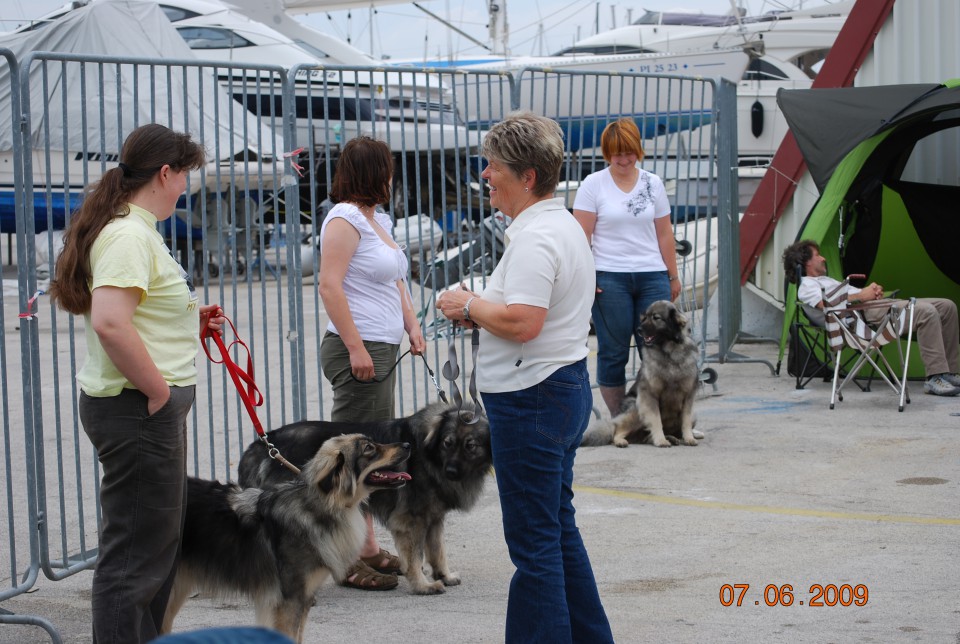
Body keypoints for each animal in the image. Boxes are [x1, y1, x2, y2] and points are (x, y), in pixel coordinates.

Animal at [237, 402, 492, 592]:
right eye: (447, 443)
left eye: (470, 446)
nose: (451, 472)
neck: (428, 454)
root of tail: (262, 447)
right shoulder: (411, 520)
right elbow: (416, 557)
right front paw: (423, 585)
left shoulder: (434, 518)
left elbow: (438, 550)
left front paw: (444, 575)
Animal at [576, 300, 696, 448]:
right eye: (644, 317)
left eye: (656, 318)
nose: (638, 330)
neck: (669, 351)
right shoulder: (649, 396)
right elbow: (656, 420)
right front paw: (661, 440)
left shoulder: (688, 396)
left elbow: (686, 421)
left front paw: (689, 438)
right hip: (635, 408)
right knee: (618, 431)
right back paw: (621, 441)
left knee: (647, 437)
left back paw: (672, 438)